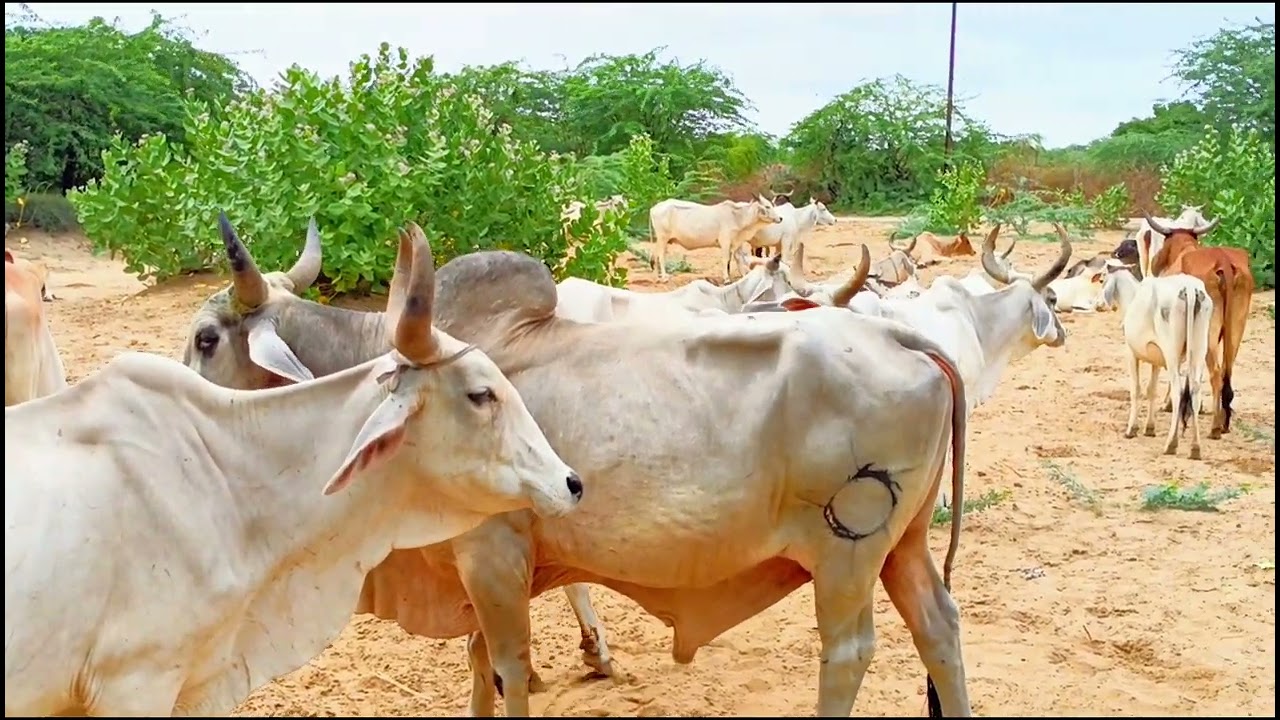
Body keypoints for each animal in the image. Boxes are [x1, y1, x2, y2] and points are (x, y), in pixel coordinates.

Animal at [649, 195, 783, 283]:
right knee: (661, 255)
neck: (737, 217)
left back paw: (656, 277)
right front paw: (727, 279)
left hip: (660, 239)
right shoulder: (725, 241)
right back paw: (664, 277)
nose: (780, 218)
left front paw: (745, 275)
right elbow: (726, 259)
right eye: (767, 207)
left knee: (655, 255)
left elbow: (739, 259)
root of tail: (654, 208)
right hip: (663, 237)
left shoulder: (737, 243)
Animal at [1101, 268, 1213, 458]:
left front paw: (1132, 429)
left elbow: (1136, 390)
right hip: (1199, 351)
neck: (1133, 296)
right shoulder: (1157, 362)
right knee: (1195, 391)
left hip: (1171, 352)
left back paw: (1171, 444)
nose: (1098, 304)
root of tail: (1190, 288)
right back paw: (1195, 448)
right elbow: (1151, 390)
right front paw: (1150, 428)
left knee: (1177, 391)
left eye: (1101, 280)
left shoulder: (1131, 353)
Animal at [1142, 212, 1253, 438]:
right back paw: (1223, 422)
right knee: (1227, 370)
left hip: (1207, 332)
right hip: (1235, 329)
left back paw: (1215, 427)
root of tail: (1223, 261)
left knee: (1217, 373)